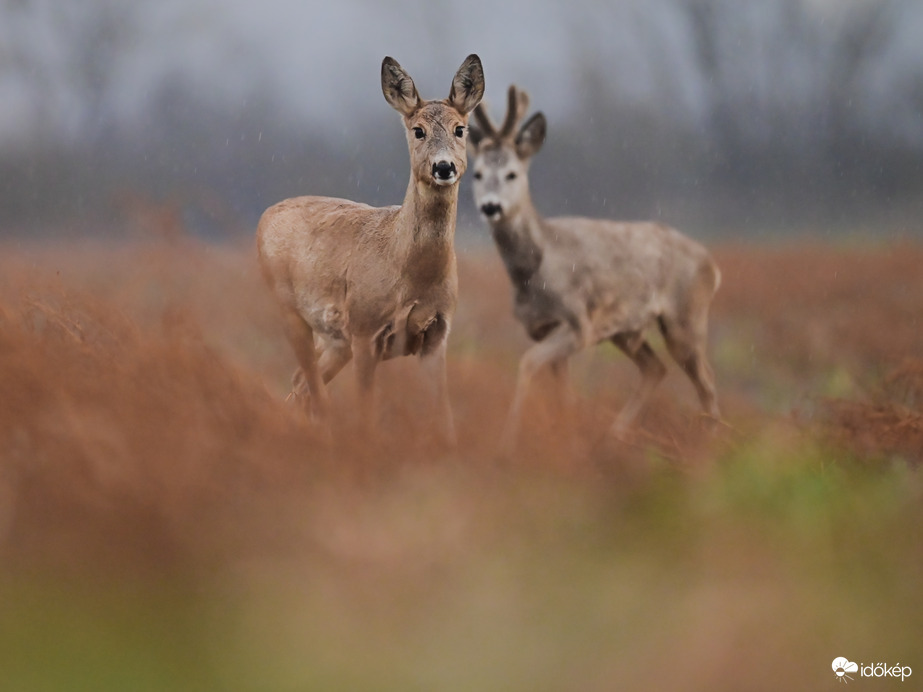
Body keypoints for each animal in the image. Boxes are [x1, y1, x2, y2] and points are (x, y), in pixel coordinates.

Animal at [253, 55, 484, 444]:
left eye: (460, 129)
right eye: (418, 130)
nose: (443, 166)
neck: (408, 271)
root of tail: (265, 215)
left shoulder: (438, 332)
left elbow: (444, 417)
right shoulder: (364, 328)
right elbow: (366, 414)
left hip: (335, 339)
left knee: (301, 387)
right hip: (289, 310)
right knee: (312, 390)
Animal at [470, 86, 720, 454]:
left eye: (512, 173)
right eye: (477, 173)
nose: (490, 206)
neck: (534, 269)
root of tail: (712, 266)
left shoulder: (580, 322)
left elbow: (527, 362)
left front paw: (507, 444)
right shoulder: (542, 327)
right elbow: (563, 390)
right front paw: (567, 438)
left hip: (686, 318)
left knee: (707, 384)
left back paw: (708, 446)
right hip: (625, 330)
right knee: (656, 368)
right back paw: (615, 437)